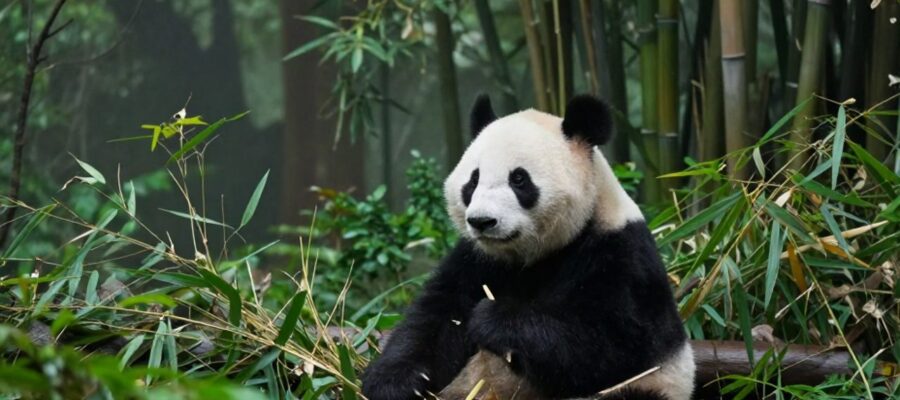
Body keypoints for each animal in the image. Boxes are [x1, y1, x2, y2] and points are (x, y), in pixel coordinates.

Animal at [361, 94, 694, 400]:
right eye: (473, 180)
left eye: (519, 179)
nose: (482, 221)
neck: (533, 255)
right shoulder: (476, 259)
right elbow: (434, 320)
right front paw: (393, 383)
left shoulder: (621, 257)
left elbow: (613, 343)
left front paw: (493, 316)